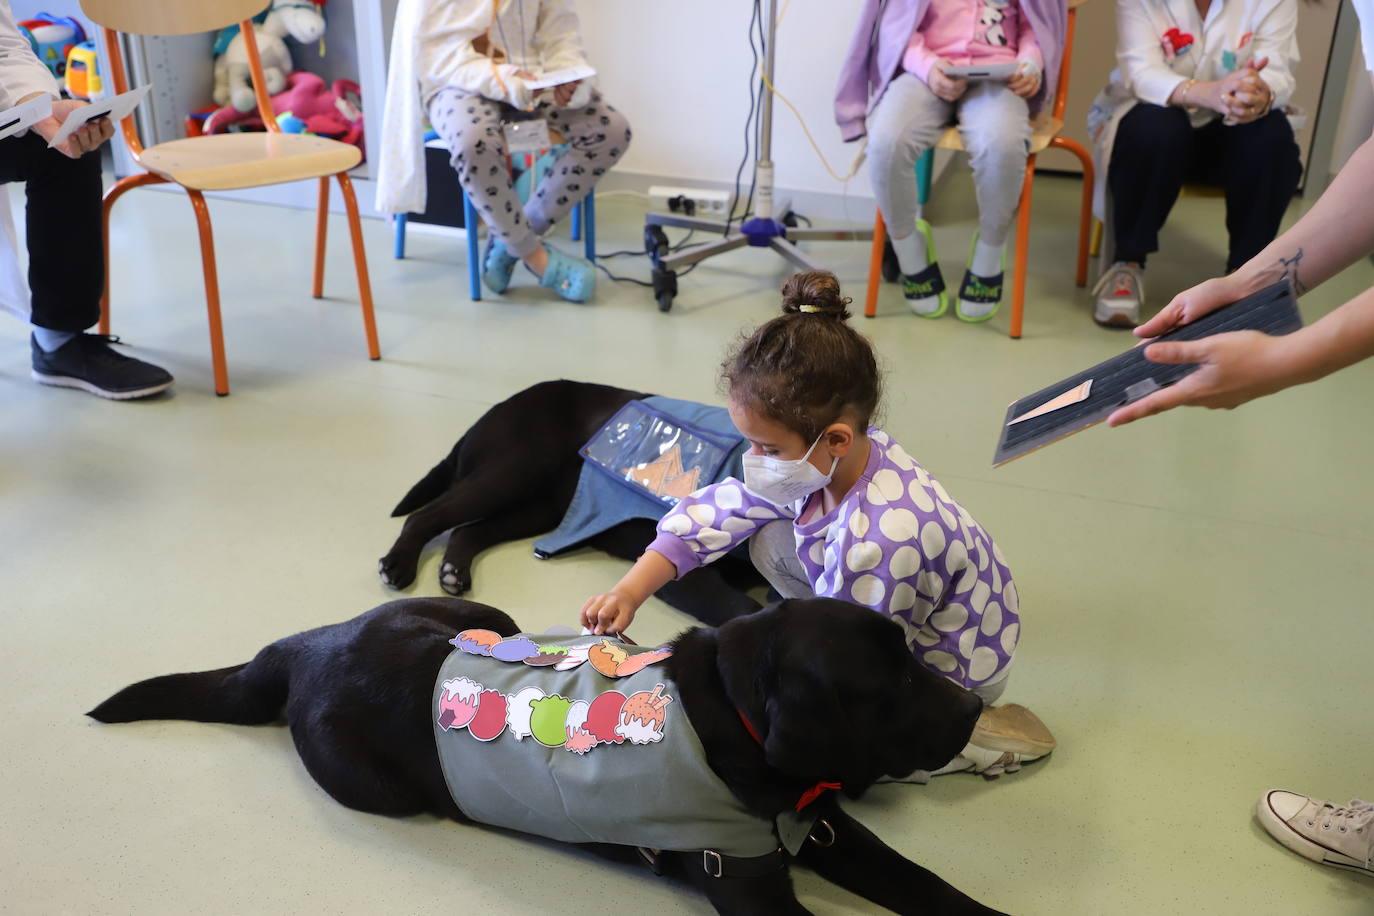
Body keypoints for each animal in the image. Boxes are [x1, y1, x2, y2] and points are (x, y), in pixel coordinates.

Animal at [91, 598, 1005, 911]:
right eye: (885, 684)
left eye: (910, 655)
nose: (973, 709)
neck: (735, 729)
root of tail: (308, 644)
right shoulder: (745, 884)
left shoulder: (829, 830)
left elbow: (928, 884)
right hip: (376, 781)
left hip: (483, 612)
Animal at [379, 381, 763, 631]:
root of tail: (500, 405)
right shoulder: (683, 574)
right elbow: (737, 605)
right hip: (512, 470)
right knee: (424, 516)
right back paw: (398, 564)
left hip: (539, 508)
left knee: (467, 531)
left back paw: (453, 571)